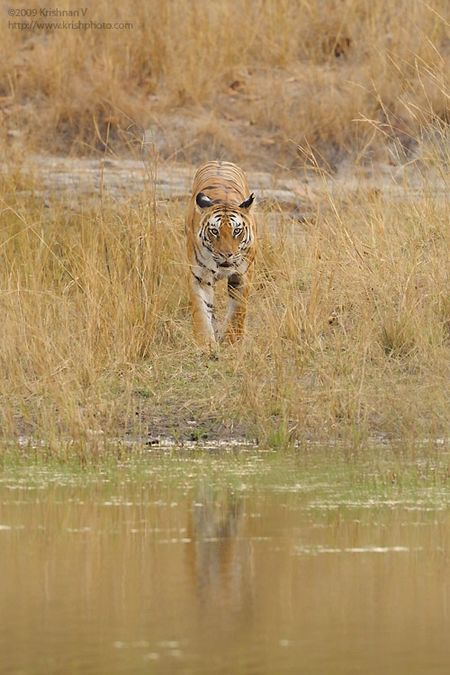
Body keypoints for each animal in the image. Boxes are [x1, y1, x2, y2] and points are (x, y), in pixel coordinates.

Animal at [186, 160, 256, 348]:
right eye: (214, 231)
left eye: (237, 231)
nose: (226, 254)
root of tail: (220, 161)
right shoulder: (200, 277)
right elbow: (201, 312)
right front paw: (205, 344)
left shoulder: (242, 277)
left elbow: (238, 312)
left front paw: (232, 342)